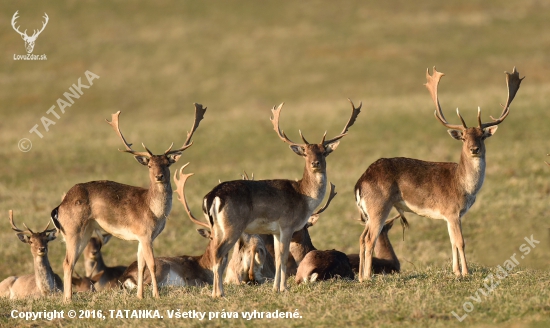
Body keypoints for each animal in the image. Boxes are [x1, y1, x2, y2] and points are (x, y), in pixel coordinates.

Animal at [50, 104, 207, 302]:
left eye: (167, 163)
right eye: (149, 165)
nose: (159, 176)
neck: (154, 211)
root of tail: (59, 207)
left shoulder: (142, 236)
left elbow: (141, 265)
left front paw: (140, 296)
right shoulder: (145, 234)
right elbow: (152, 264)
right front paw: (156, 295)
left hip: (85, 231)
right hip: (73, 229)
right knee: (67, 262)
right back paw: (68, 299)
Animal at [201, 100, 360, 298]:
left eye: (324, 152)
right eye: (305, 152)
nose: (315, 163)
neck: (304, 196)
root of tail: (212, 196)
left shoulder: (276, 230)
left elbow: (277, 257)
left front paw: (276, 288)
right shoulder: (287, 224)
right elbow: (283, 257)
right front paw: (284, 288)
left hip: (216, 227)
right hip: (232, 225)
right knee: (219, 254)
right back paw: (219, 293)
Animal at [356, 66, 524, 280]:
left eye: (482, 136)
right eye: (464, 137)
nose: (474, 149)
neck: (464, 186)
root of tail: (360, 183)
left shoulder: (449, 215)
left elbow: (452, 241)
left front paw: (456, 272)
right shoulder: (452, 210)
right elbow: (460, 242)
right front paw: (466, 273)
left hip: (368, 212)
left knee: (361, 237)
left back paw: (360, 276)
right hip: (379, 206)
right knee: (370, 239)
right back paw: (368, 276)